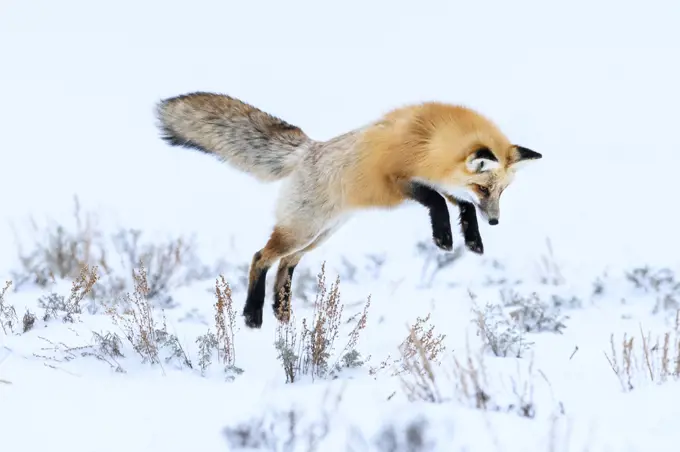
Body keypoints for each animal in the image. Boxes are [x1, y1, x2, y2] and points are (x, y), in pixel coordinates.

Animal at [154, 92, 540, 328]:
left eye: (501, 192)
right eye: (484, 188)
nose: (495, 221)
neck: (428, 143)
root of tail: (308, 149)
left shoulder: (443, 182)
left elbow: (459, 206)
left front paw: (472, 238)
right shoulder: (395, 181)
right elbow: (436, 202)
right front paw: (444, 237)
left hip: (319, 235)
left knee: (286, 263)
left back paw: (282, 310)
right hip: (303, 230)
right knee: (260, 257)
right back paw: (253, 314)